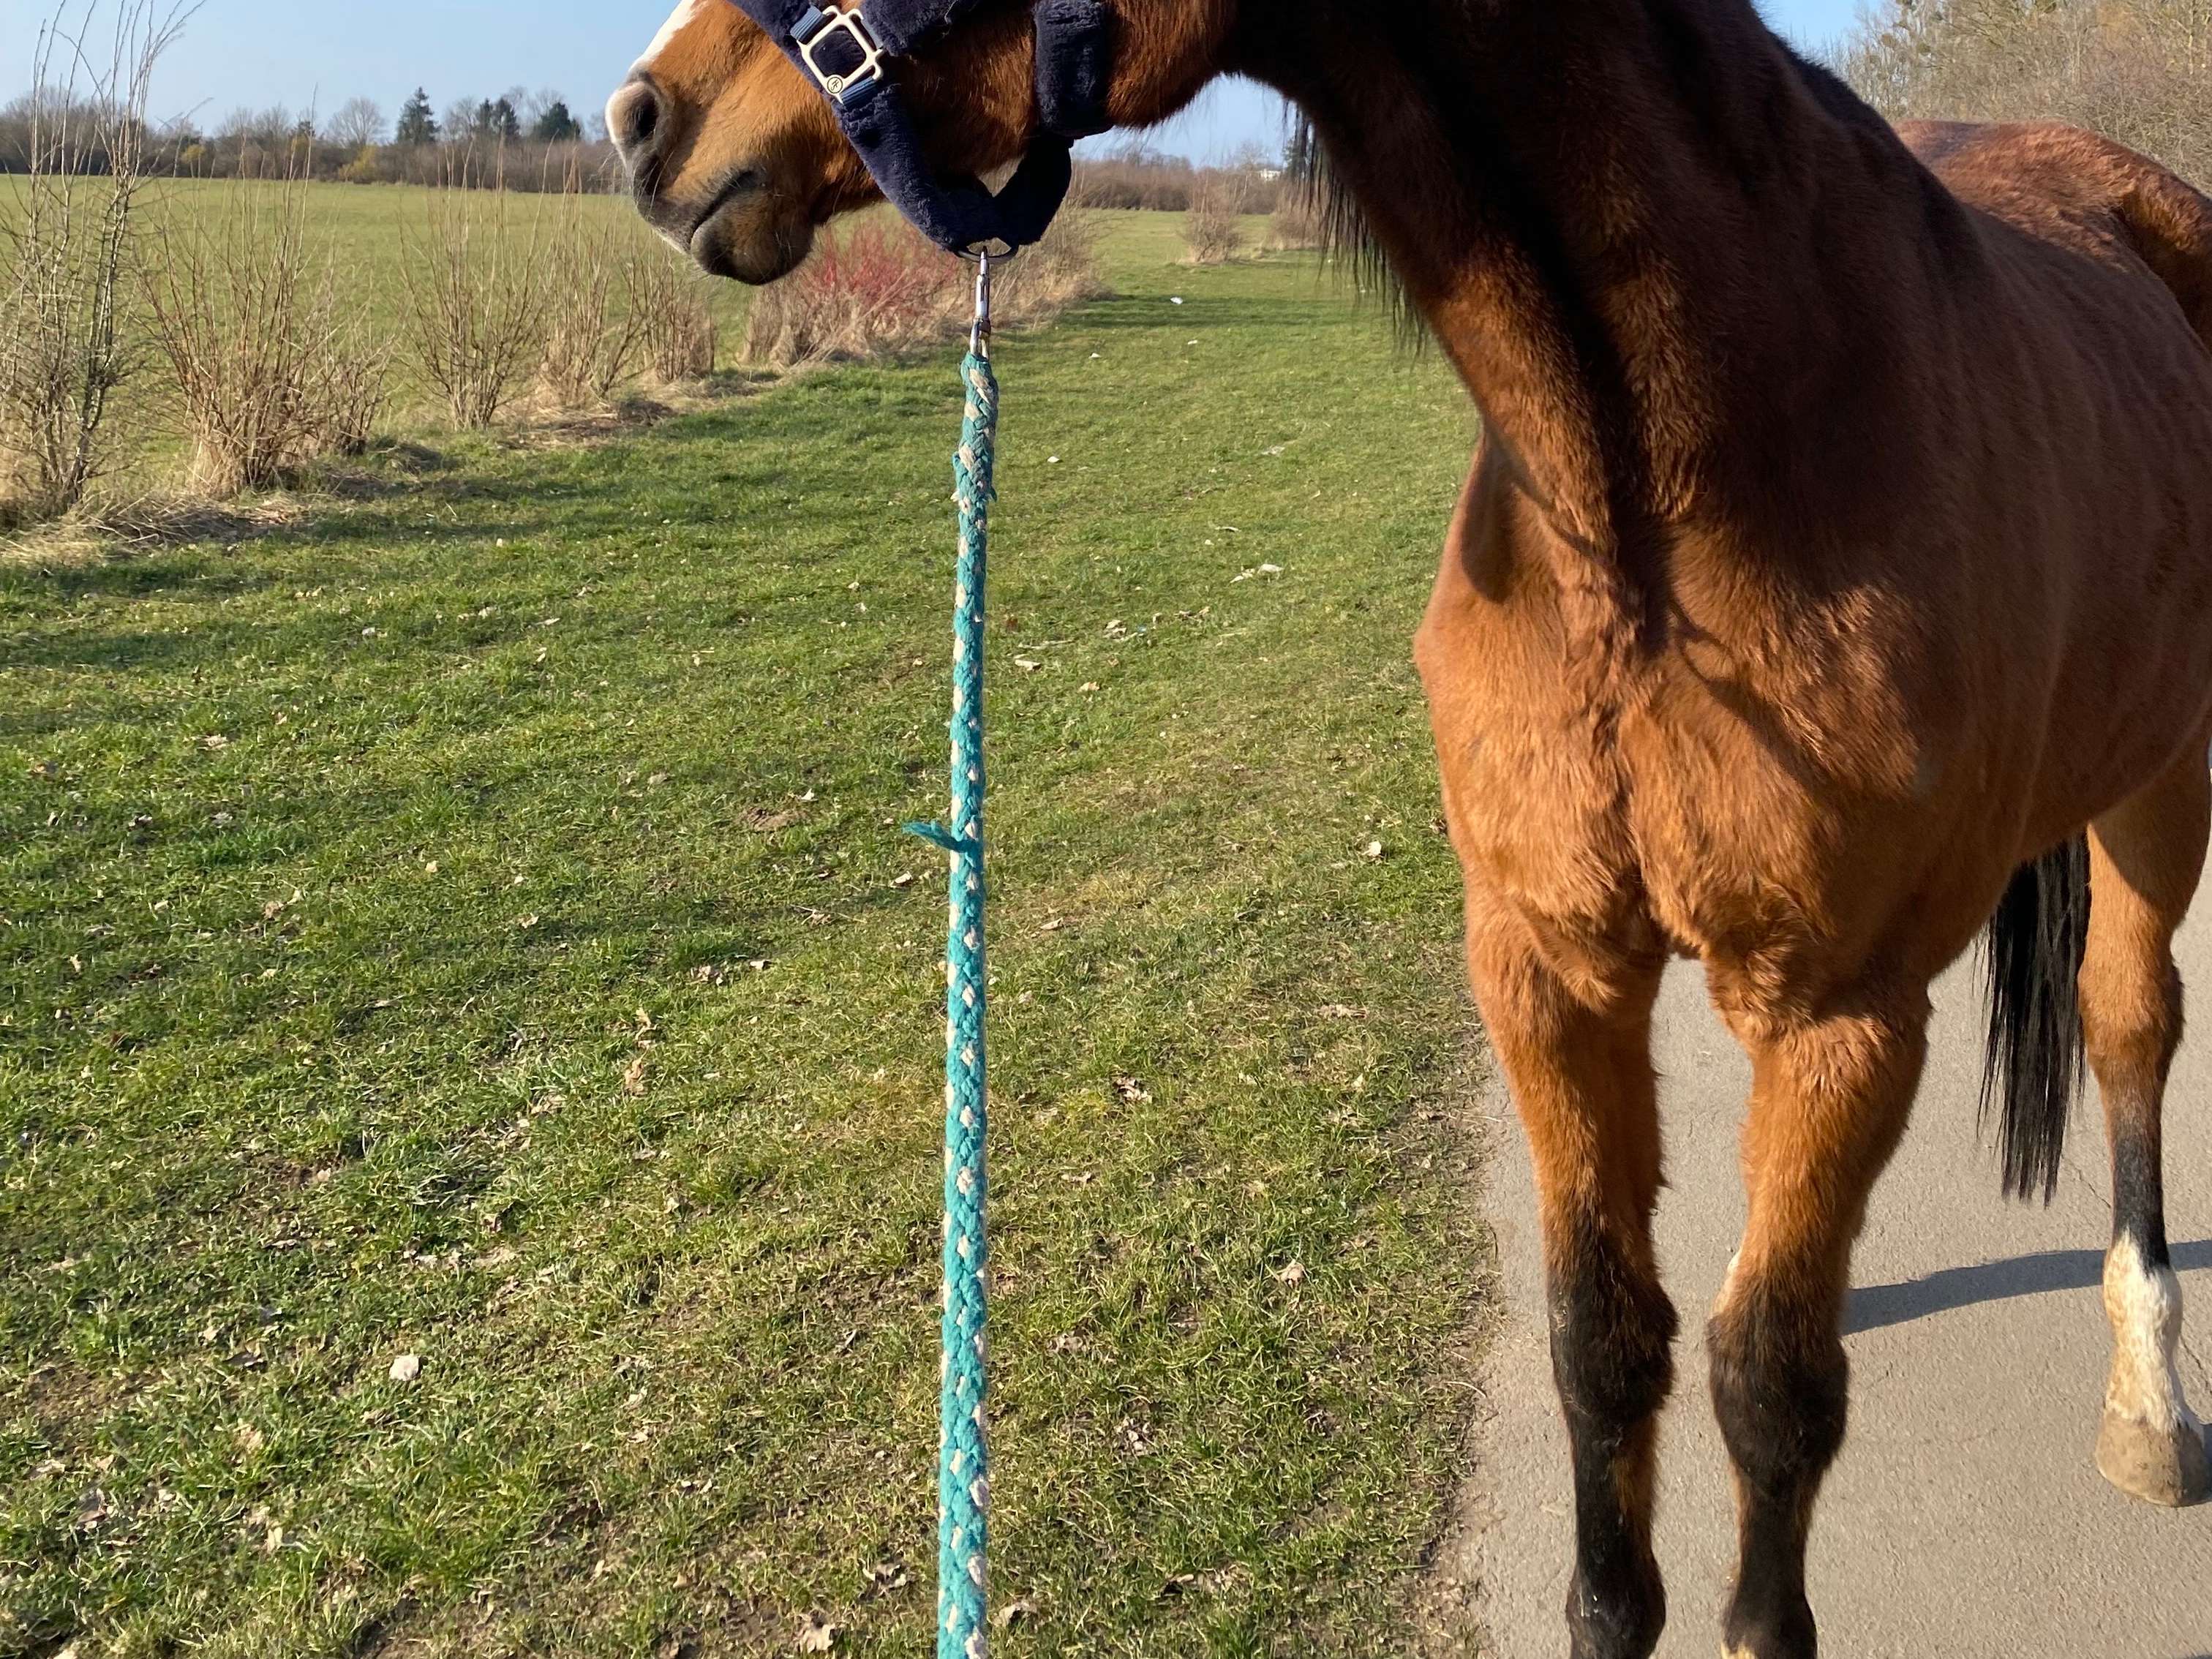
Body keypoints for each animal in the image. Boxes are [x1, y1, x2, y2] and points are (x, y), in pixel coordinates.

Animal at [605, 2, 2212, 1653]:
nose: (649, 119)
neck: (1667, 500)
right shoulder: (1545, 968)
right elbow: (1602, 1342)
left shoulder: (1841, 1016)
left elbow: (1770, 1386)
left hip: (2161, 785)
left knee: (2127, 1024)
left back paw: (2151, 1405)